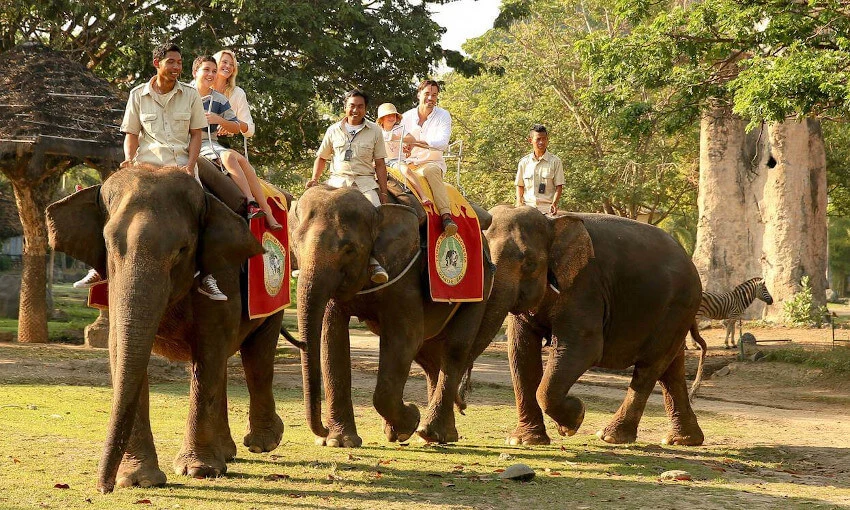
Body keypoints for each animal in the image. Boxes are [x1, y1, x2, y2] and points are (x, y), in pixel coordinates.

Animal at [46, 163, 285, 493]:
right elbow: (121, 349)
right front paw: (138, 480)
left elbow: (209, 350)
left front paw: (198, 470)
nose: (103, 488)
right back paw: (227, 454)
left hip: (273, 296)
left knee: (257, 356)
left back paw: (262, 443)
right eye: (108, 245)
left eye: (183, 249)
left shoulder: (222, 273)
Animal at [289, 184, 493, 447]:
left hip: (480, 285)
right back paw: (430, 435)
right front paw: (339, 441)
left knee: (456, 347)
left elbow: (404, 338)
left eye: (349, 249)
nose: (321, 431)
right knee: (429, 356)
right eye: (295, 244)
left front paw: (411, 420)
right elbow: (332, 339)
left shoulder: (405, 275)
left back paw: (430, 432)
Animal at [463, 205, 705, 447]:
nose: (464, 403)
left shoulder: (585, 285)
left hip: (677, 306)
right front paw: (524, 441)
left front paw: (574, 418)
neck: (551, 222)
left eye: (530, 263)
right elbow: (521, 352)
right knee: (670, 367)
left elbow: (584, 348)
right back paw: (683, 440)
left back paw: (611, 436)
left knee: (650, 366)